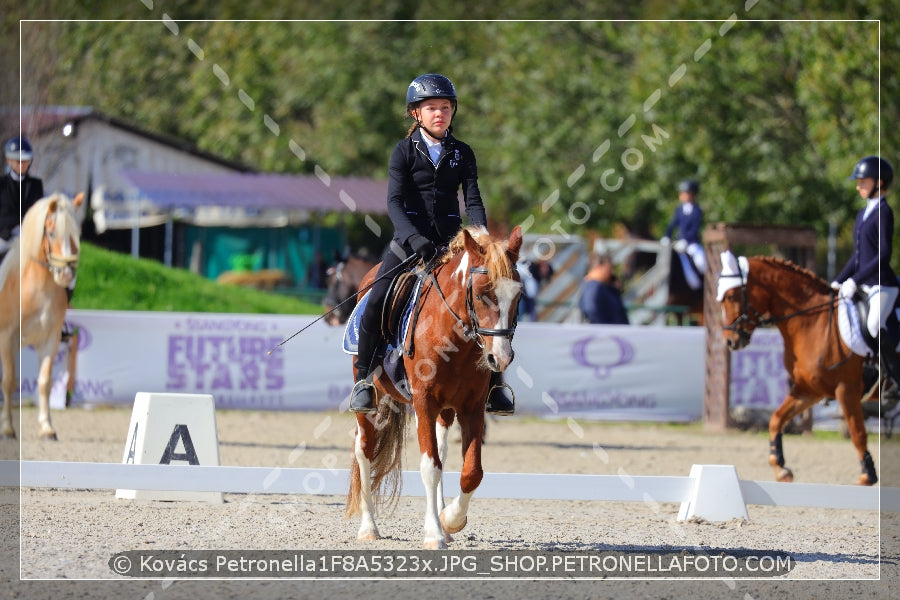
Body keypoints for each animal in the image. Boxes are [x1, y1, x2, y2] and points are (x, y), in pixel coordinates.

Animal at [0, 192, 82, 440]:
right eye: (52, 232)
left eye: (77, 235)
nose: (66, 275)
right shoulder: (6, 338)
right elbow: (9, 381)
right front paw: (7, 427)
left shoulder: (50, 339)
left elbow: (45, 382)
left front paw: (47, 427)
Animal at [346, 225, 528, 548]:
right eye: (481, 293)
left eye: (518, 295)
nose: (501, 357)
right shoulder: (424, 401)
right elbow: (429, 467)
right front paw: (433, 533)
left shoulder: (472, 406)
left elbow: (472, 471)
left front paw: (450, 520)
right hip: (370, 400)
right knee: (364, 449)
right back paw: (369, 528)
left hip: (446, 409)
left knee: (441, 451)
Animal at [716, 251, 884, 486]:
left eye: (731, 296)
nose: (730, 341)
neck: (813, 322)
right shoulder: (809, 390)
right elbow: (776, 419)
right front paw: (780, 468)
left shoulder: (846, 390)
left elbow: (857, 433)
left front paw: (867, 476)